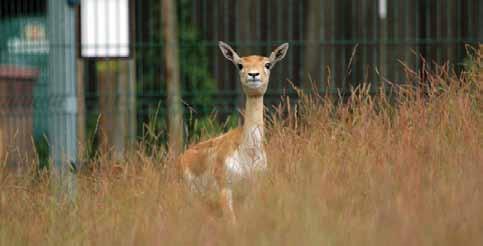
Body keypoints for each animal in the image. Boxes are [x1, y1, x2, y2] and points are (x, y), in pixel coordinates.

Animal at [179, 40, 290, 223]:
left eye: (267, 64)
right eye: (240, 64)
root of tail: (181, 158)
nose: (253, 74)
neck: (249, 153)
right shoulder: (225, 188)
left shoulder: (252, 190)